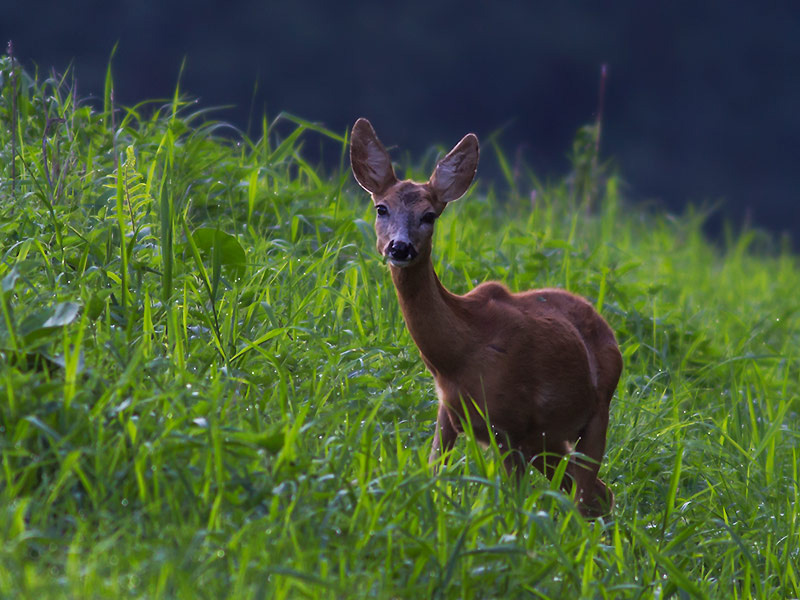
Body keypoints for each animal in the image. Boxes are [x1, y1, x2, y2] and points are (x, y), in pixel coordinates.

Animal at [352, 117, 624, 516]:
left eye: (429, 215)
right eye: (381, 208)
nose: (400, 247)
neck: (460, 354)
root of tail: (610, 334)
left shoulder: (510, 424)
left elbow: (513, 501)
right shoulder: (449, 414)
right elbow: (432, 476)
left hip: (596, 412)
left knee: (586, 494)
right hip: (547, 438)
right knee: (598, 494)